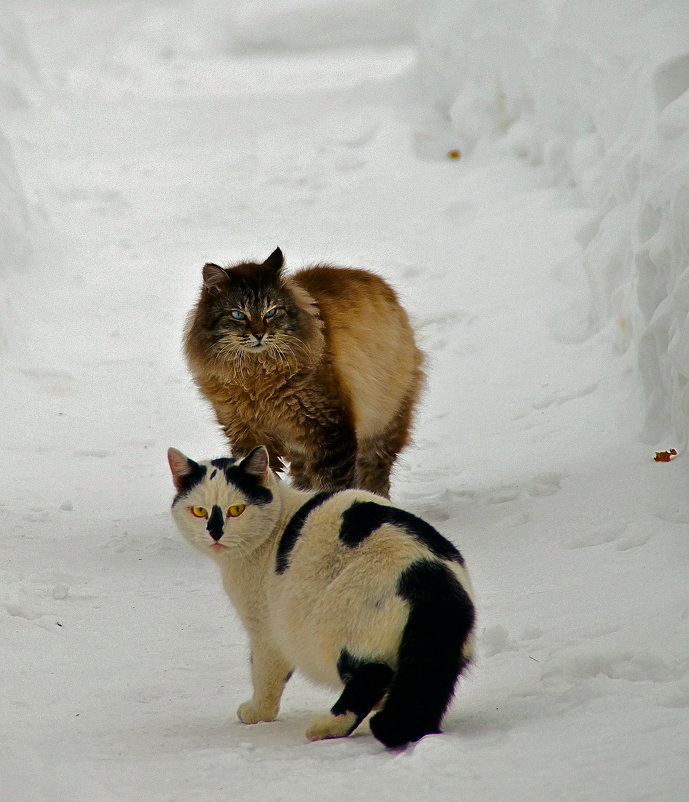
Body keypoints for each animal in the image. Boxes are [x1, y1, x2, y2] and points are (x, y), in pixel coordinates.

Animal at [169, 444, 476, 744]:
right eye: (199, 511)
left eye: (236, 509)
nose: (215, 533)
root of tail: (428, 573)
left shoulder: (266, 631)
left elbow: (264, 674)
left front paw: (257, 712)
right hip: (437, 654)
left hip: (335, 627)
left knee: (372, 677)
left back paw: (326, 728)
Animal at [185, 247, 428, 496]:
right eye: (238, 315)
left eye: (271, 312)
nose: (260, 334)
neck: (256, 378)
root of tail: (382, 286)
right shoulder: (246, 435)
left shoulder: (331, 433)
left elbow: (333, 488)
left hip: (382, 426)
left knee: (375, 478)